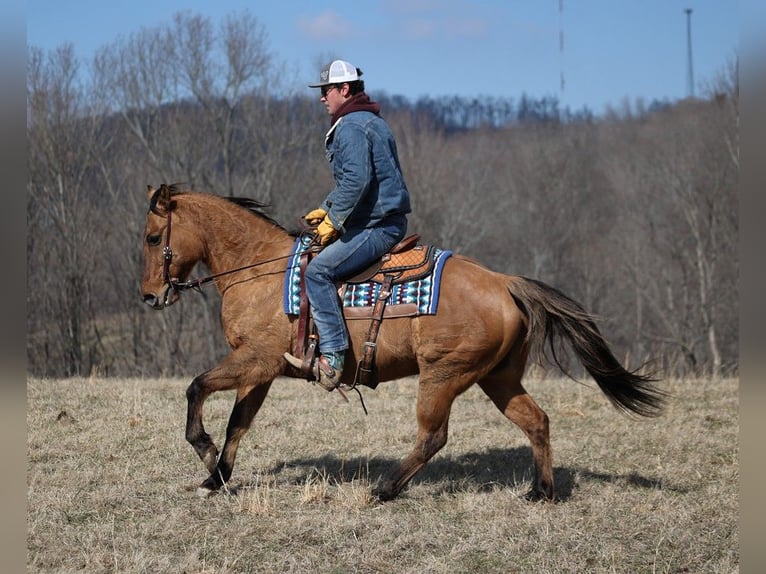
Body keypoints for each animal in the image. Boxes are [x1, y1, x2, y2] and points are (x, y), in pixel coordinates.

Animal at [142, 186, 664, 504]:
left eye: (151, 237)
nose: (149, 295)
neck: (258, 269)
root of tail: (504, 283)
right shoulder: (262, 370)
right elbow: (238, 423)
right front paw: (216, 477)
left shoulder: (254, 360)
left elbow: (197, 388)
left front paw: (203, 450)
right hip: (499, 378)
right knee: (536, 421)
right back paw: (542, 491)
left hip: (442, 376)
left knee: (433, 436)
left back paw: (385, 489)